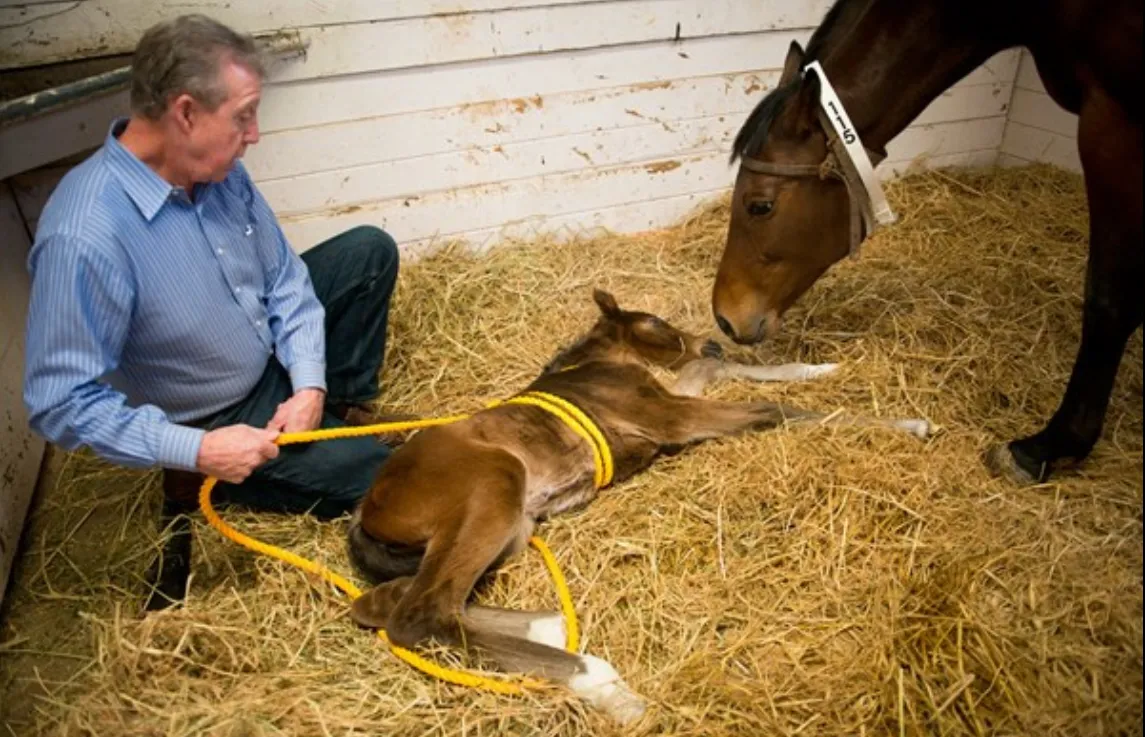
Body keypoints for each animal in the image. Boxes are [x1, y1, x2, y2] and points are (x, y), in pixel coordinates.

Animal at [345, 289, 932, 722]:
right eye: (654, 322)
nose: (711, 344)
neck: (602, 367)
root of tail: (366, 510)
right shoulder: (670, 418)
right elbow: (773, 410)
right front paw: (909, 423)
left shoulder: (672, 406)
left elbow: (734, 379)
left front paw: (817, 368)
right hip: (496, 485)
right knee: (419, 613)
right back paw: (605, 685)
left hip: (510, 528)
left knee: (389, 601)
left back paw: (547, 626)